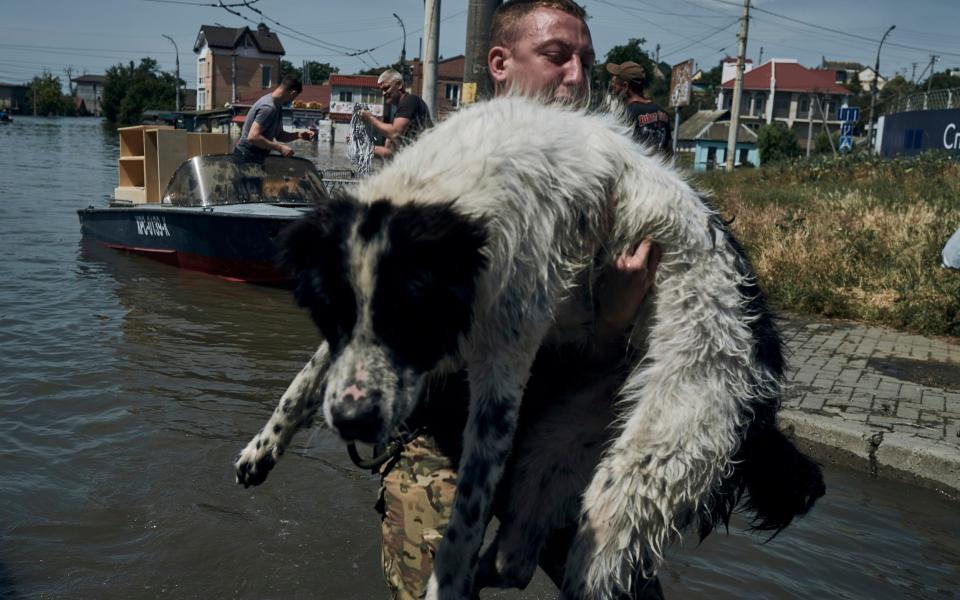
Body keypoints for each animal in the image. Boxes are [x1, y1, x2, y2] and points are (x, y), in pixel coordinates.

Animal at [234, 96, 824, 596]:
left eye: (411, 318)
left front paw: (446, 580)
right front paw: (262, 449)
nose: (353, 422)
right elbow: (306, 379)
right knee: (516, 558)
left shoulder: (503, 368)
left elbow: (466, 515)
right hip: (556, 446)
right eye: (330, 313)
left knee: (588, 564)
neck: (450, 191)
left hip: (648, 468)